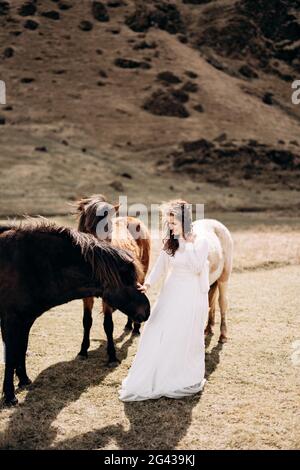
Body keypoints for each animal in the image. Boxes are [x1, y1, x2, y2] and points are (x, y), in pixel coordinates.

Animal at [0, 220, 150, 404]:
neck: (28, 264)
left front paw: (23, 380)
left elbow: (21, 348)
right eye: (127, 280)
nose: (147, 310)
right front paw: (9, 395)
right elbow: (11, 354)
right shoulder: (11, 319)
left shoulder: (26, 319)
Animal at [74, 193, 151, 366]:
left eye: (109, 227)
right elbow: (86, 321)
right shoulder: (86, 296)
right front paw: (83, 350)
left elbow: (108, 325)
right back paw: (129, 325)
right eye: (89, 228)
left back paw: (136, 327)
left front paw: (112, 356)